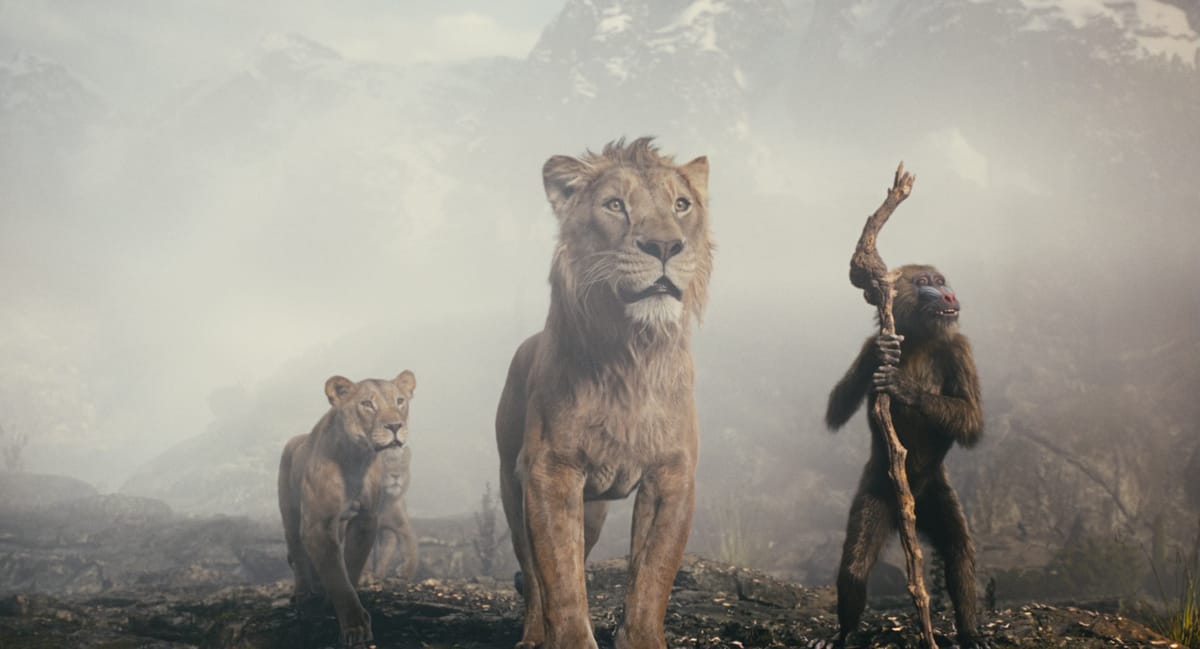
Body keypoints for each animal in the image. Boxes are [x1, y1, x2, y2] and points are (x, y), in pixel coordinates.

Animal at [369, 443, 419, 580]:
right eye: (386, 464)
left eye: (402, 466)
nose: (396, 475)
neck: (384, 501)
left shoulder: (397, 526)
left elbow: (411, 546)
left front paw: (407, 572)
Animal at [495, 137, 713, 649]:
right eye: (615, 205)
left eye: (682, 205)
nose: (664, 245)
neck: (632, 353)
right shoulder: (550, 472)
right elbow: (561, 580)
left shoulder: (672, 475)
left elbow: (652, 576)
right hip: (513, 486)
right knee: (533, 574)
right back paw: (533, 635)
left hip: (592, 510)